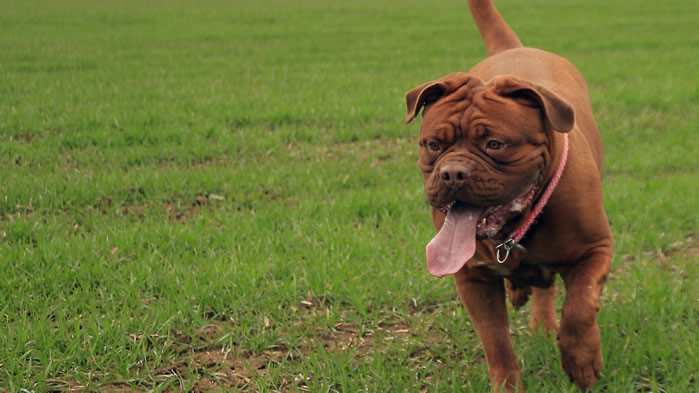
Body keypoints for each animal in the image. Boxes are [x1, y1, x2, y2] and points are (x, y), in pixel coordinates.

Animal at [404, 1, 612, 390]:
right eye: (434, 144)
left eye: (494, 144)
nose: (452, 173)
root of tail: (513, 49)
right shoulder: (472, 278)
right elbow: (496, 342)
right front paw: (507, 384)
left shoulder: (596, 249)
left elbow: (579, 304)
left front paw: (581, 360)